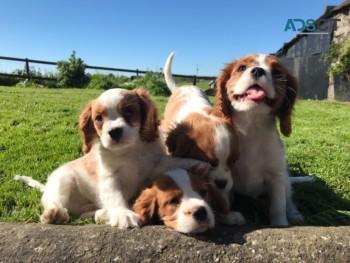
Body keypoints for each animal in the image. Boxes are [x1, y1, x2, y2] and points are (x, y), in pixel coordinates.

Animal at [15, 87, 208, 230]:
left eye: (129, 111)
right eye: (99, 118)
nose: (114, 131)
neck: (130, 150)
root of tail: (46, 188)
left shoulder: (154, 166)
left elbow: (169, 161)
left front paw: (196, 164)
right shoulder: (110, 176)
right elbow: (115, 195)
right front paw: (123, 214)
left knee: (86, 214)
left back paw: (101, 214)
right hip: (63, 180)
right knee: (56, 202)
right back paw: (55, 213)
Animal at [215, 54, 314, 227]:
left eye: (276, 72)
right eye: (242, 68)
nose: (257, 71)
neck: (252, 126)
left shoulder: (276, 177)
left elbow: (279, 207)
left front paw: (281, 224)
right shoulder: (225, 175)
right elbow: (224, 199)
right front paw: (229, 217)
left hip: (285, 179)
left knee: (288, 198)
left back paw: (294, 214)